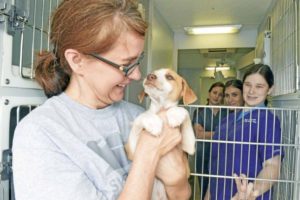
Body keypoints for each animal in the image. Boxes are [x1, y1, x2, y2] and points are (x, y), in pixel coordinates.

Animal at [126, 68, 197, 199]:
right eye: (152, 73)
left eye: (169, 77)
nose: (150, 76)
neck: (160, 107)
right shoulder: (132, 150)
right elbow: (142, 116)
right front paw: (153, 122)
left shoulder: (188, 147)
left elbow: (184, 111)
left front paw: (175, 114)